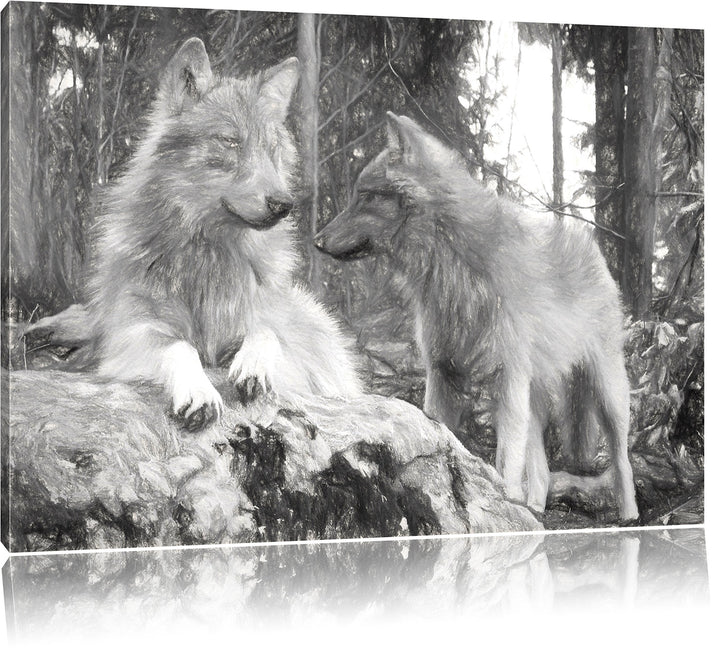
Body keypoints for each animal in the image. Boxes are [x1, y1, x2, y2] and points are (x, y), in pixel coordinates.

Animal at [32, 38, 362, 431]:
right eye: (230, 141)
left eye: (272, 150)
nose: (284, 204)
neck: (207, 256)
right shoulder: (130, 336)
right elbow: (180, 346)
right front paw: (198, 392)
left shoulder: (282, 347)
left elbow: (265, 333)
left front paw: (252, 367)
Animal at [314, 112, 639, 521]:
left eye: (366, 196)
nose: (316, 241)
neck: (454, 266)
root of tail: (590, 244)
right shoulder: (443, 374)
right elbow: (442, 439)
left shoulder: (507, 380)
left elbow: (505, 463)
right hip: (533, 401)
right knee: (542, 472)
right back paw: (534, 512)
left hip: (605, 393)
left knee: (621, 459)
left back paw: (629, 516)